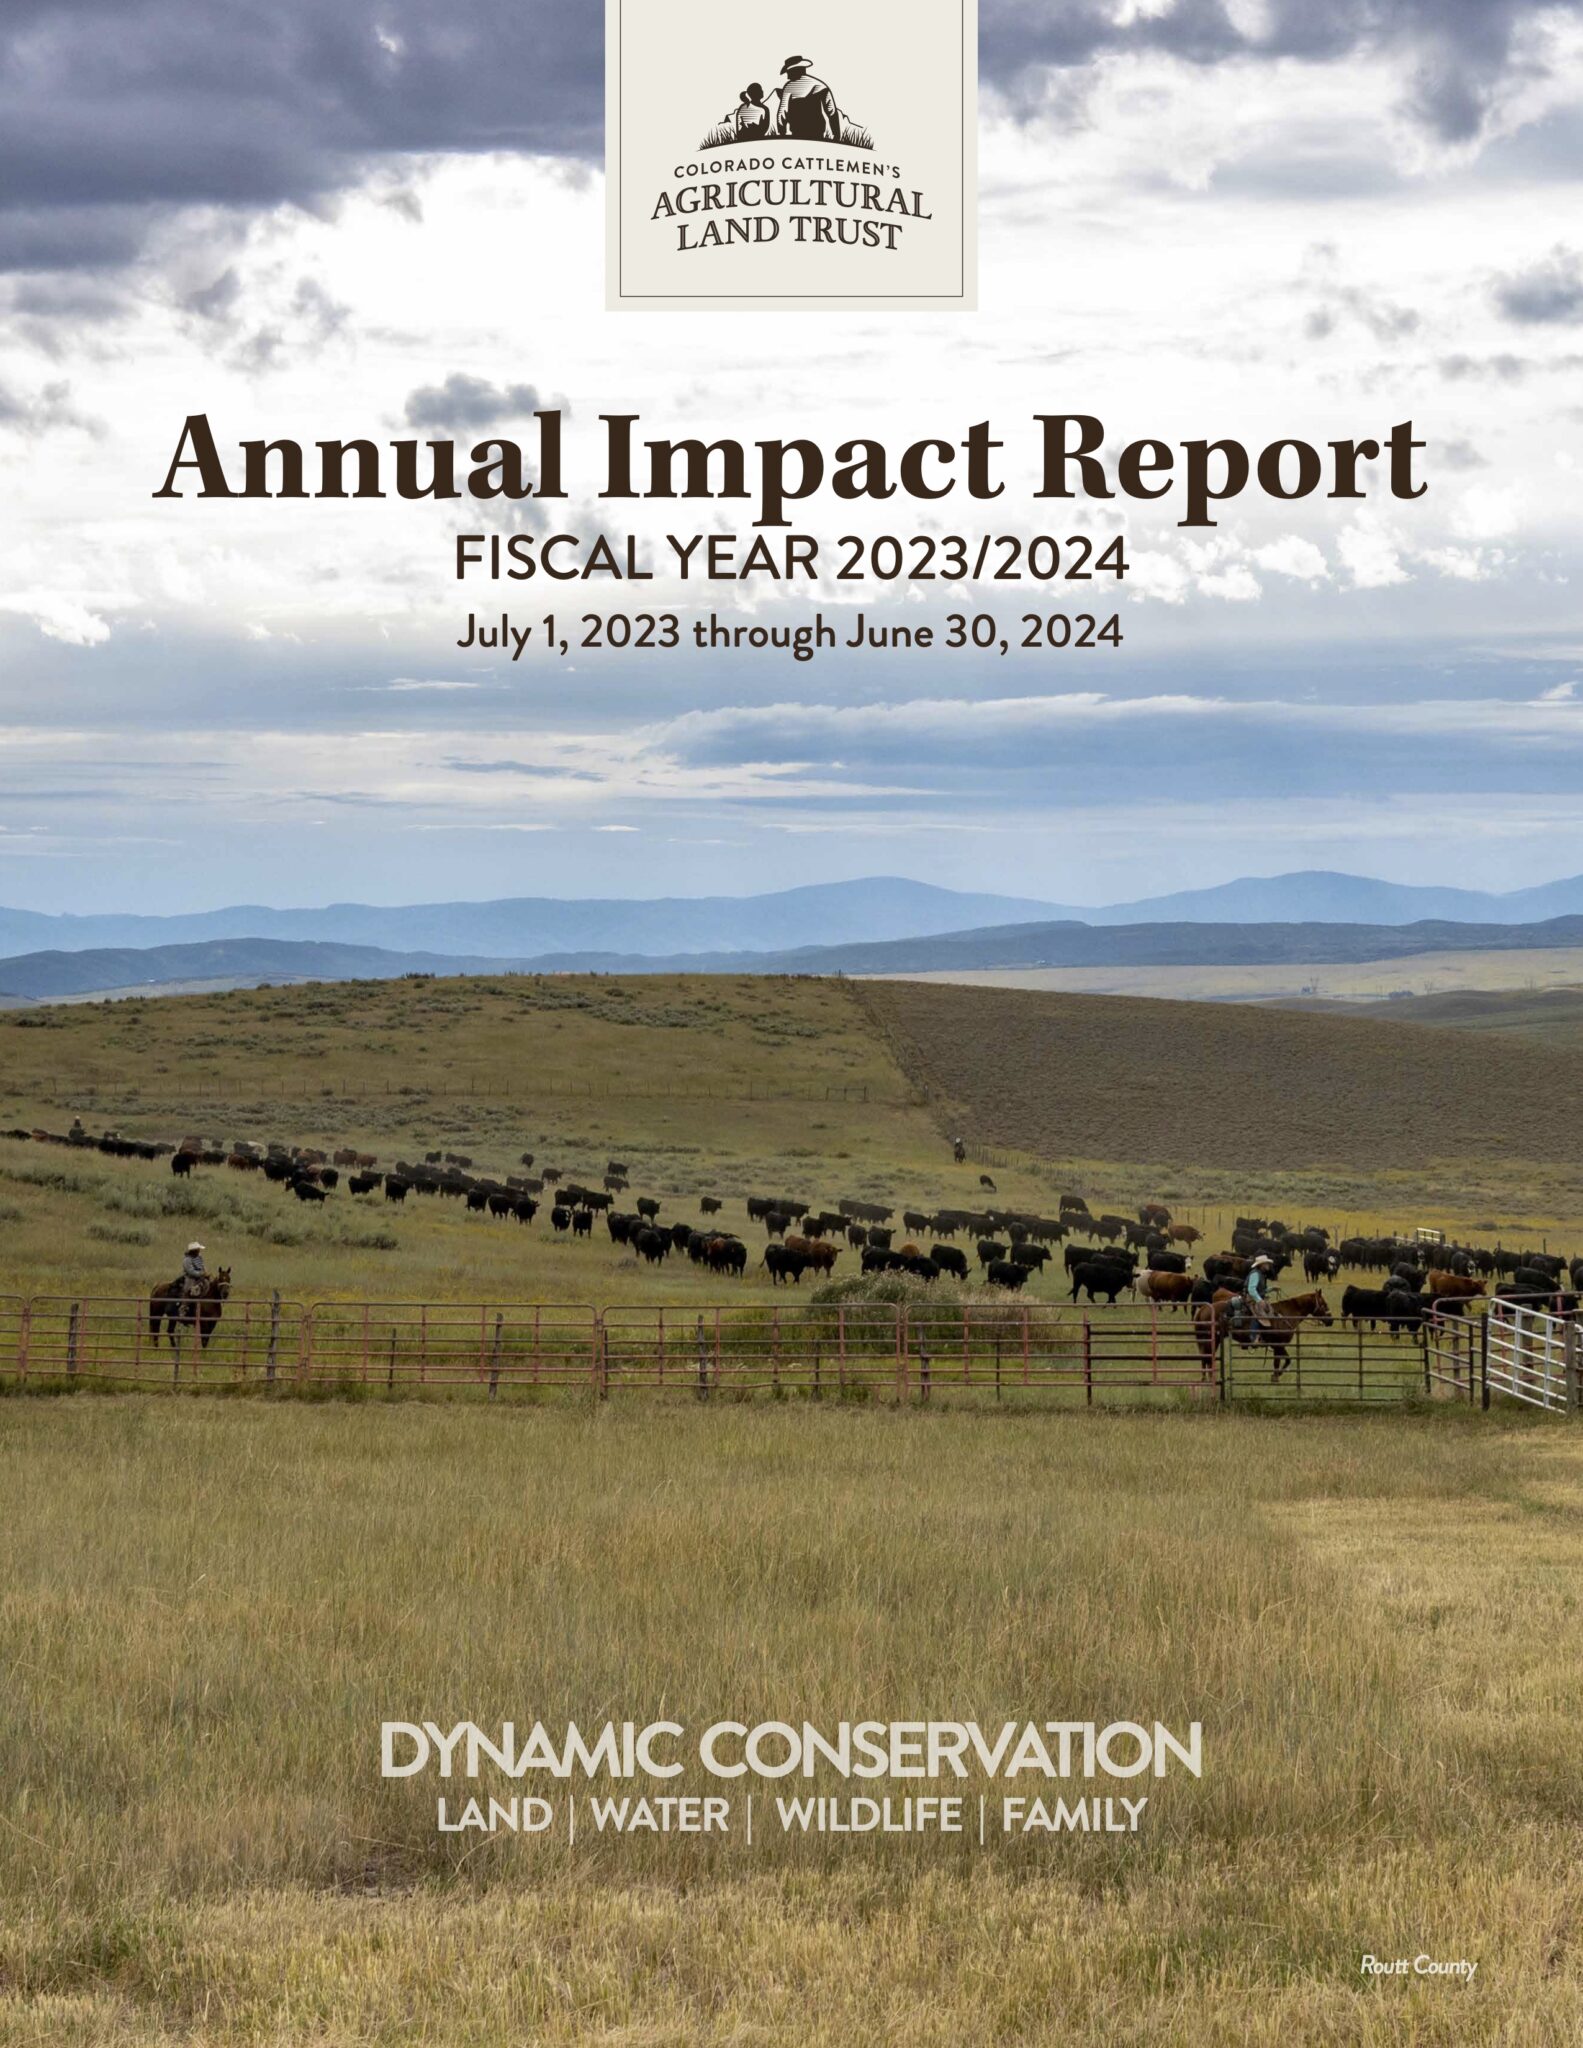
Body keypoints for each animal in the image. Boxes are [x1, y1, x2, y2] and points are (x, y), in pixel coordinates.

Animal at [1195, 1286, 1327, 1384]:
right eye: (1324, 1304)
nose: (1330, 1320)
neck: (1286, 1314)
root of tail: (1203, 1309)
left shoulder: (1277, 1346)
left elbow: (1282, 1360)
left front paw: (1275, 1376)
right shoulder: (1278, 1345)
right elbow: (1283, 1361)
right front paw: (1276, 1376)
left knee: (1205, 1358)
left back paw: (1205, 1378)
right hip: (1212, 1339)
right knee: (1207, 1358)